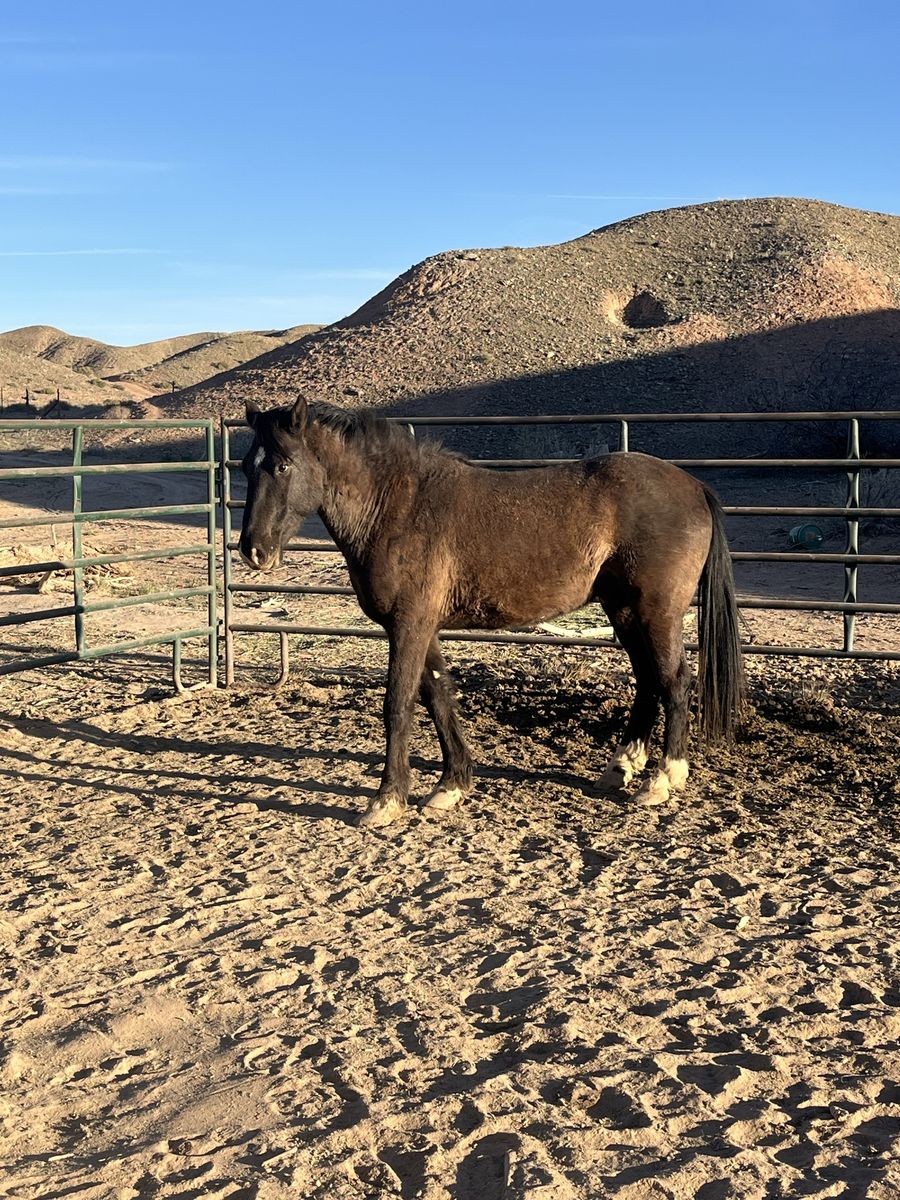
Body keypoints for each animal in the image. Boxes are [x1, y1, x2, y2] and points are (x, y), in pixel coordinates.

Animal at [239, 397, 744, 828]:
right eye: (246, 466)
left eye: (282, 464)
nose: (253, 551)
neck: (398, 507)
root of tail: (694, 486)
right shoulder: (422, 627)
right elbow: (438, 696)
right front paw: (452, 785)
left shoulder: (407, 626)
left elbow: (398, 704)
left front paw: (386, 800)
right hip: (624, 610)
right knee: (646, 681)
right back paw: (620, 766)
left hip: (656, 612)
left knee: (673, 681)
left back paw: (662, 779)